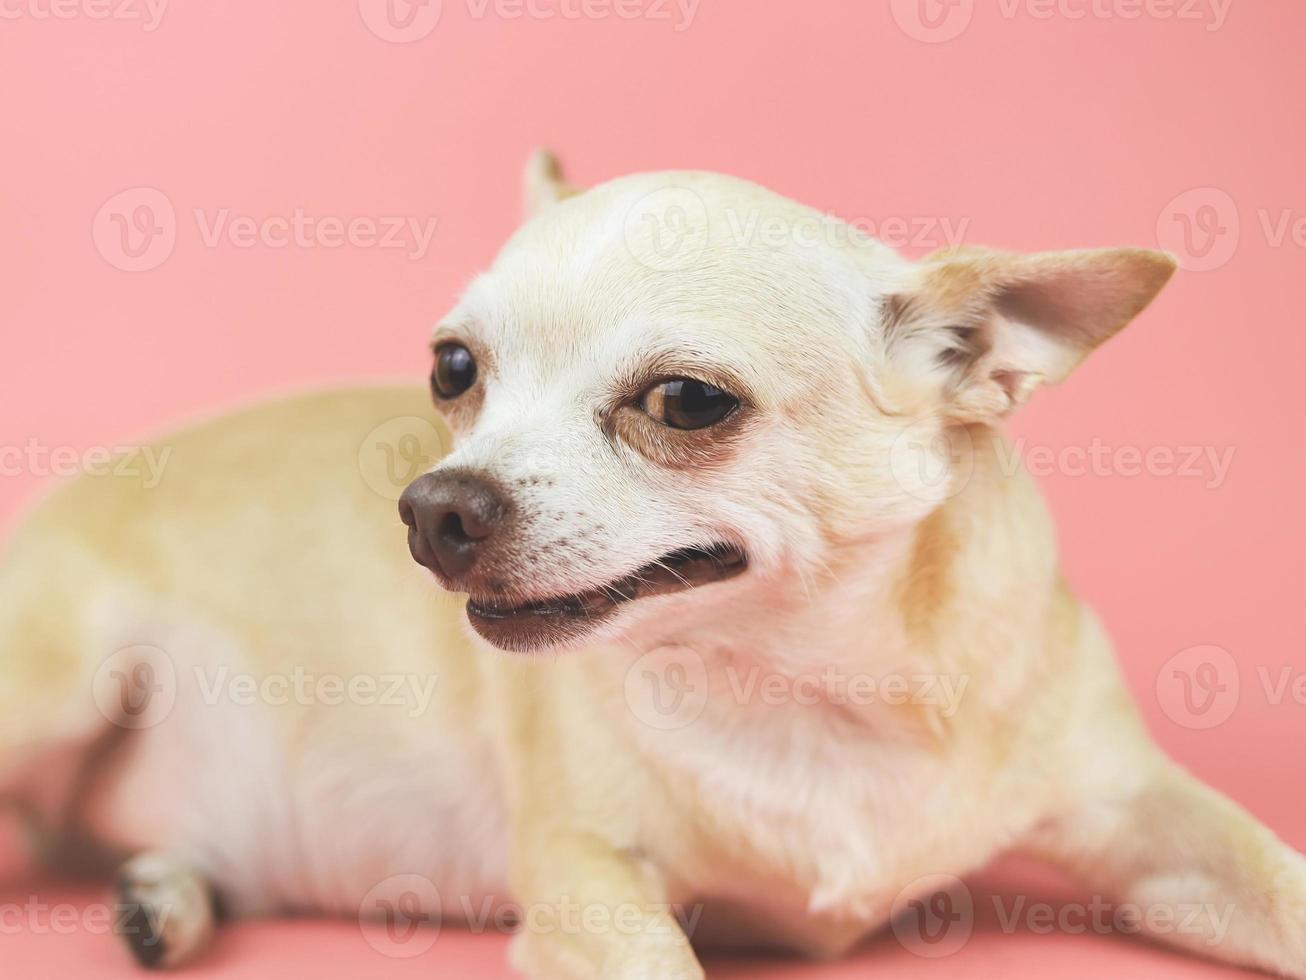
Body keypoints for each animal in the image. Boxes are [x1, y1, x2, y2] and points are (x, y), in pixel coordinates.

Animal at [2, 149, 1306, 977]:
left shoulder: (1142, 813)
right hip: (55, 690)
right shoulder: (587, 871)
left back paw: (165, 897)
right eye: (453, 368)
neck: (818, 691)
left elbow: (1280, 886)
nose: (433, 507)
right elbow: (657, 961)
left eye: (685, 401)